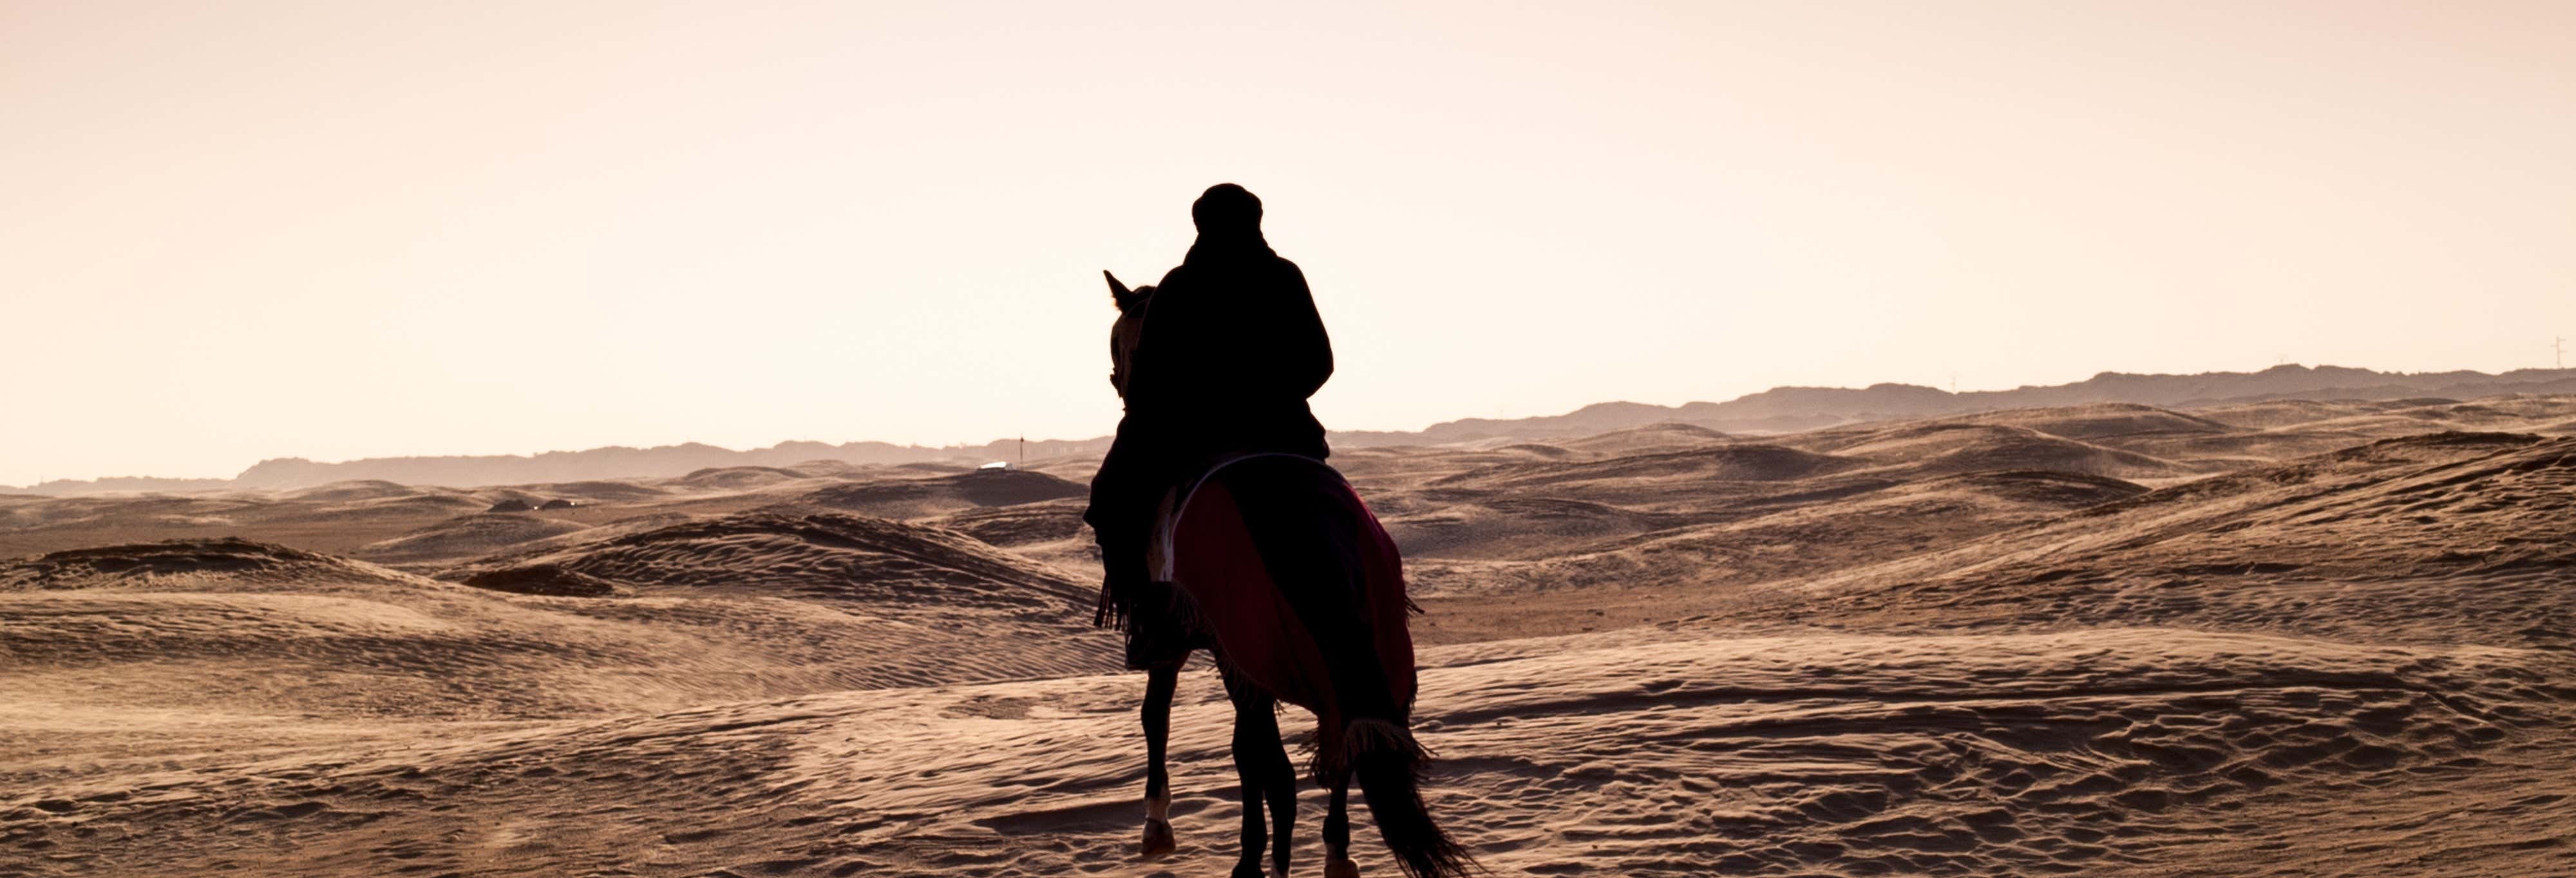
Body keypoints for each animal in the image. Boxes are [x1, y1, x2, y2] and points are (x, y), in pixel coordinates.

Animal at [1097, 270, 1472, 878]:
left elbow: (1161, 715)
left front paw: (1158, 824)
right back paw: (1334, 854)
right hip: (1359, 654)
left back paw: (1258, 859)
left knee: (1266, 759)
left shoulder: (1183, 626)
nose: (1120, 385)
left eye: (1121, 343)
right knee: (1343, 744)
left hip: (1247, 649)